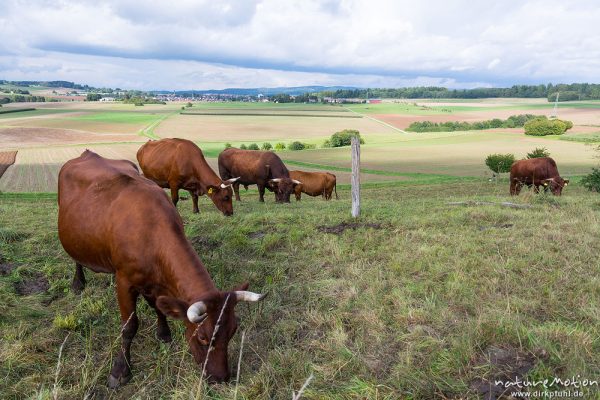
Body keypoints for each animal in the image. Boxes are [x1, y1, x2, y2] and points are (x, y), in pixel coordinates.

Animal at [58, 151, 264, 388]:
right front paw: (120, 369)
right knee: (76, 259)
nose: (221, 378)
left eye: (233, 332)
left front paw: (163, 332)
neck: (151, 231)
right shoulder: (125, 282)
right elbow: (129, 327)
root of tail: (87, 153)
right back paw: (78, 283)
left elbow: (158, 305)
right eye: (202, 337)